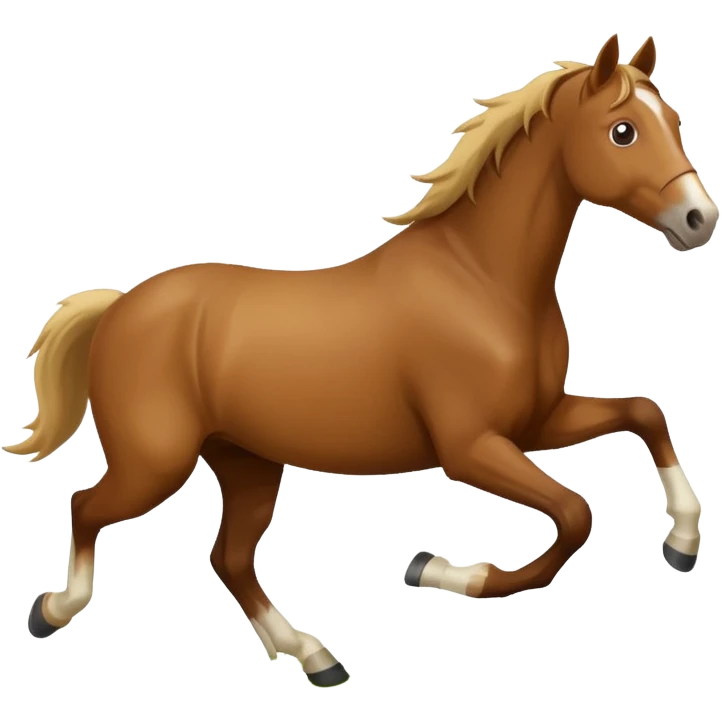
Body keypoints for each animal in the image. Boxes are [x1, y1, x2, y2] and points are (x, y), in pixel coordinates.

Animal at [7, 33, 715, 688]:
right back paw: (50, 612)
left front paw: (681, 545)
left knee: (228, 558)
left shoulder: (537, 422)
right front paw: (434, 569)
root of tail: (120, 306)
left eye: (675, 121)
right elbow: (574, 516)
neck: (480, 279)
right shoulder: (471, 447)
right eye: (623, 130)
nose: (698, 219)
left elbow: (644, 414)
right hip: (156, 462)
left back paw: (316, 658)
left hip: (246, 462)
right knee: (87, 507)